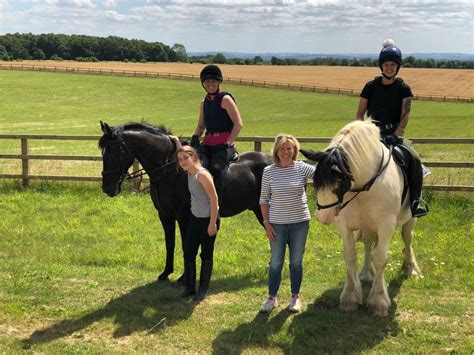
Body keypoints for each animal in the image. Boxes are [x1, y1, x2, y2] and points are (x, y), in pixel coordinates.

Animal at [98, 123, 272, 284]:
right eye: (103, 153)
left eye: (112, 154)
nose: (107, 188)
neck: (171, 171)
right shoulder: (165, 215)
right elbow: (170, 243)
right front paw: (166, 273)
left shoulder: (184, 216)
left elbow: (185, 244)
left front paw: (183, 277)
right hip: (258, 209)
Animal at [302, 119, 420, 318]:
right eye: (316, 181)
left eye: (339, 183)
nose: (322, 217)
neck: (365, 185)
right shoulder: (344, 225)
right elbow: (350, 257)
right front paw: (350, 297)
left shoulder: (386, 225)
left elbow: (380, 259)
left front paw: (378, 301)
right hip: (367, 226)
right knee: (367, 243)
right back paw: (365, 274)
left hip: (410, 220)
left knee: (407, 240)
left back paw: (411, 269)